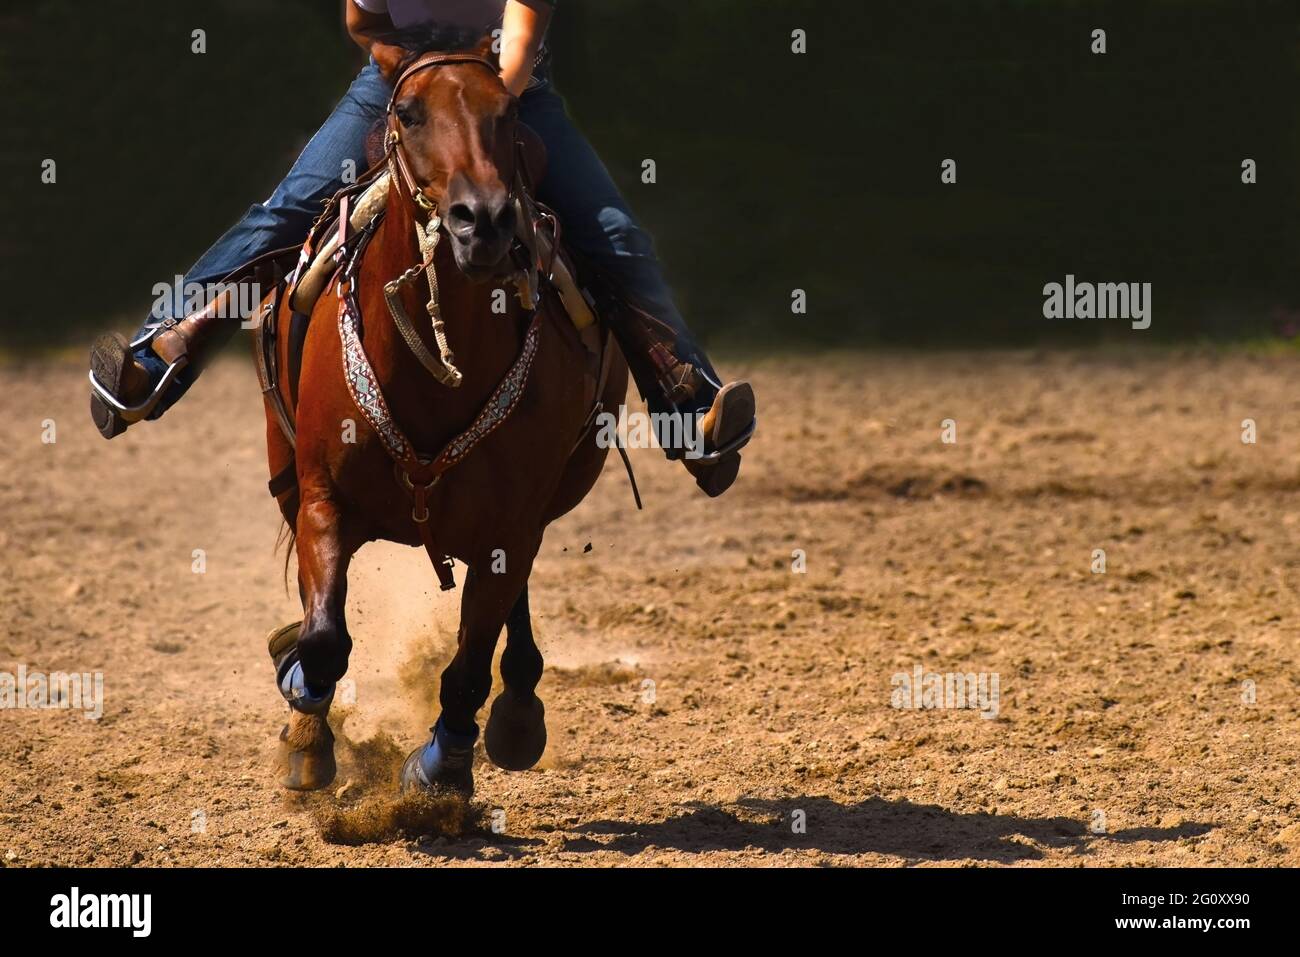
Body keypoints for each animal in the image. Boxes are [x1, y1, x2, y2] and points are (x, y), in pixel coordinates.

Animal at [257, 36, 628, 798]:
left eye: (507, 111)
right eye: (409, 112)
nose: (481, 220)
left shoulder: (511, 528)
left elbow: (468, 664)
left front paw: (442, 771)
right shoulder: (320, 493)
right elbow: (324, 638)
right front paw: (307, 735)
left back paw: (518, 711)